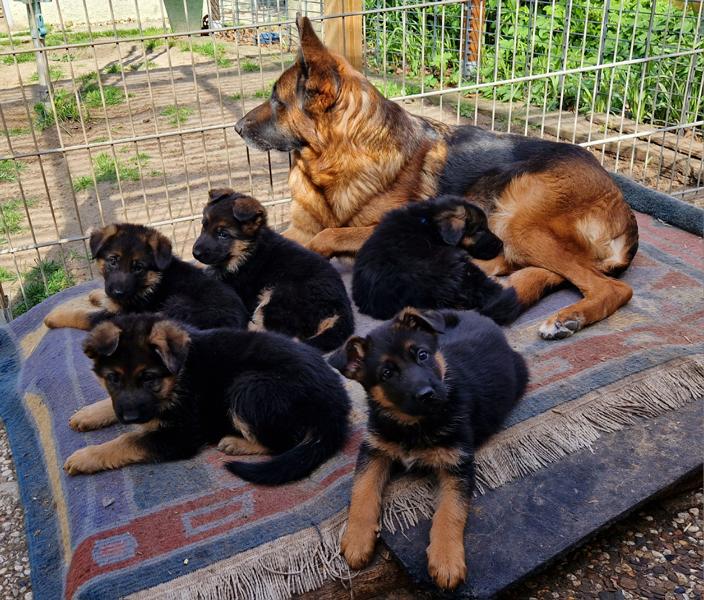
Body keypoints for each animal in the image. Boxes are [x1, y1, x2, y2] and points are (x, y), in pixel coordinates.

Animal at [44, 223, 249, 332]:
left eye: (138, 268)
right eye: (112, 261)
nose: (118, 292)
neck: (153, 280)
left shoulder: (120, 314)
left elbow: (83, 316)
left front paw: (53, 318)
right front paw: (97, 295)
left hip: (176, 303)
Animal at [64, 313, 351, 484]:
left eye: (149, 378)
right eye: (112, 378)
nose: (131, 417)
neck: (180, 373)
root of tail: (337, 408)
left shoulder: (180, 436)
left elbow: (127, 441)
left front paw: (86, 457)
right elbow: (112, 405)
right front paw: (88, 414)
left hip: (248, 386)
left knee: (282, 443)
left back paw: (236, 443)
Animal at [192, 188, 354, 352]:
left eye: (223, 234)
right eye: (204, 226)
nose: (195, 253)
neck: (249, 249)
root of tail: (341, 309)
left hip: (279, 296)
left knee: (282, 333)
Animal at [329, 308, 528, 590]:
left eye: (422, 355)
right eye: (387, 373)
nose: (427, 394)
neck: (414, 425)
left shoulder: (458, 464)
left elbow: (450, 511)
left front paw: (446, 560)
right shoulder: (374, 448)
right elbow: (362, 490)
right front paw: (357, 539)